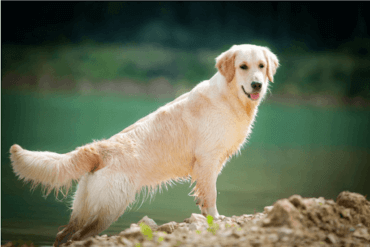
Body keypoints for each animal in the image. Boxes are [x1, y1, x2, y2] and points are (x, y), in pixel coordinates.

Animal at [9, 44, 278, 245]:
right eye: (243, 66)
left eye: (262, 66)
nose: (257, 84)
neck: (229, 96)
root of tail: (99, 148)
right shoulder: (208, 160)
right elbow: (210, 195)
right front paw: (215, 219)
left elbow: (203, 197)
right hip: (109, 208)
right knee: (77, 236)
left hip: (85, 208)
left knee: (63, 233)